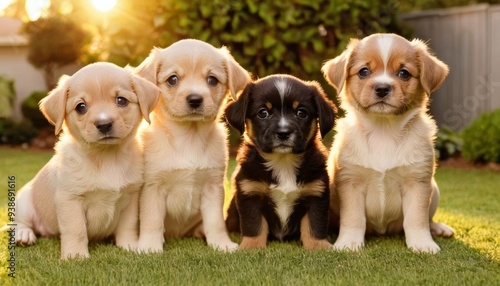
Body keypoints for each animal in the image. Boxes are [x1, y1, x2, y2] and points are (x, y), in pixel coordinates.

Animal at [9, 62, 160, 260]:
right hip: (24, 201)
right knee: (20, 222)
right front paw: (75, 256)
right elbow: (76, 230)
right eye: (81, 106)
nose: (104, 125)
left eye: (121, 100)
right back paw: (24, 235)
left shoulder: (130, 197)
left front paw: (128, 246)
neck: (106, 158)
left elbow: (128, 227)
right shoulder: (70, 199)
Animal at [136, 38, 250, 252]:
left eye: (212, 80)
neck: (189, 138)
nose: (195, 99)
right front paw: (150, 246)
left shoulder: (213, 187)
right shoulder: (153, 187)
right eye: (172, 79)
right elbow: (152, 220)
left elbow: (215, 221)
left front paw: (221, 244)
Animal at [226, 75, 336, 249]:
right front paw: (251, 247)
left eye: (301, 113)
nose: (283, 133)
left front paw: (318, 247)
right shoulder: (250, 193)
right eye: (263, 113)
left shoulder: (316, 193)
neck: (283, 162)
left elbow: (315, 224)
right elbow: (253, 224)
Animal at [322, 32, 456, 254]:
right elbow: (353, 219)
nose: (382, 88)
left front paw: (422, 243)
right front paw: (349, 242)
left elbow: (417, 219)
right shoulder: (350, 183)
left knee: (428, 219)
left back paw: (438, 228)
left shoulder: (417, 183)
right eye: (364, 71)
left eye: (404, 73)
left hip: (434, 190)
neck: (383, 131)